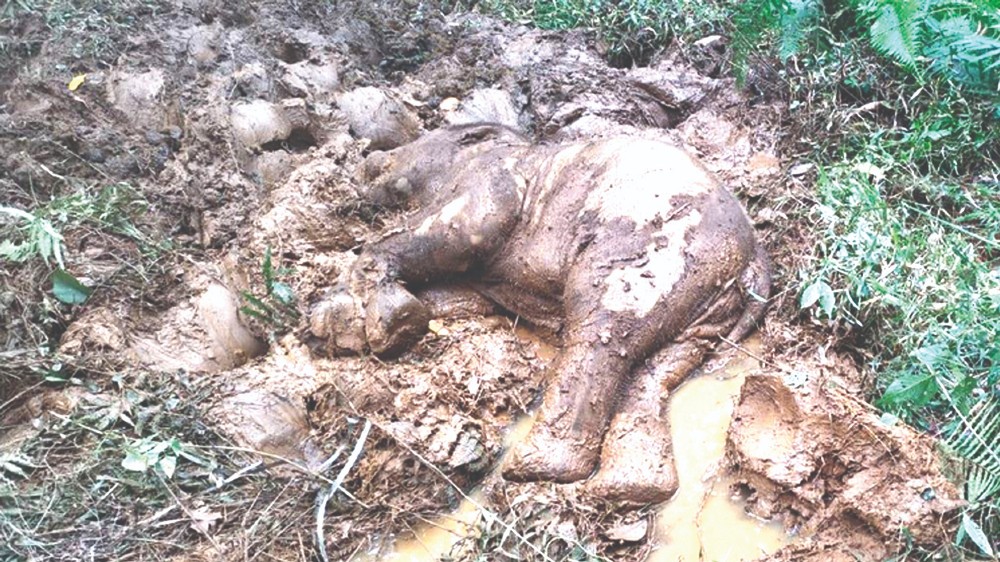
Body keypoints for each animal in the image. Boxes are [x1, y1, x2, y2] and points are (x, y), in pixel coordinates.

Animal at [309, 123, 771, 503]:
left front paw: (354, 326)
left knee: (601, 338)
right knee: (655, 370)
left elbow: (452, 231)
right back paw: (628, 490)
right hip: (708, 309)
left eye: (407, 148)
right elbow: (466, 297)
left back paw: (532, 469)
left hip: (651, 252)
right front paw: (403, 318)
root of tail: (754, 261)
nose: (368, 158)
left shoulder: (488, 182)